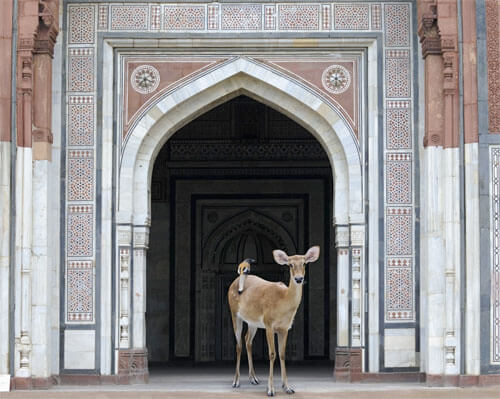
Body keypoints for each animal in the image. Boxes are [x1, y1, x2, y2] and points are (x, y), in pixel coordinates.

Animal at [228, 247, 320, 396]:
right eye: (290, 264)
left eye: (305, 263)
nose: (299, 279)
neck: (282, 302)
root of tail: (234, 282)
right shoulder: (269, 324)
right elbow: (272, 354)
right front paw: (270, 390)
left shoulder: (285, 328)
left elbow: (282, 354)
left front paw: (287, 387)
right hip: (234, 314)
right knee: (239, 344)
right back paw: (236, 382)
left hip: (253, 322)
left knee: (247, 340)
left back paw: (254, 378)